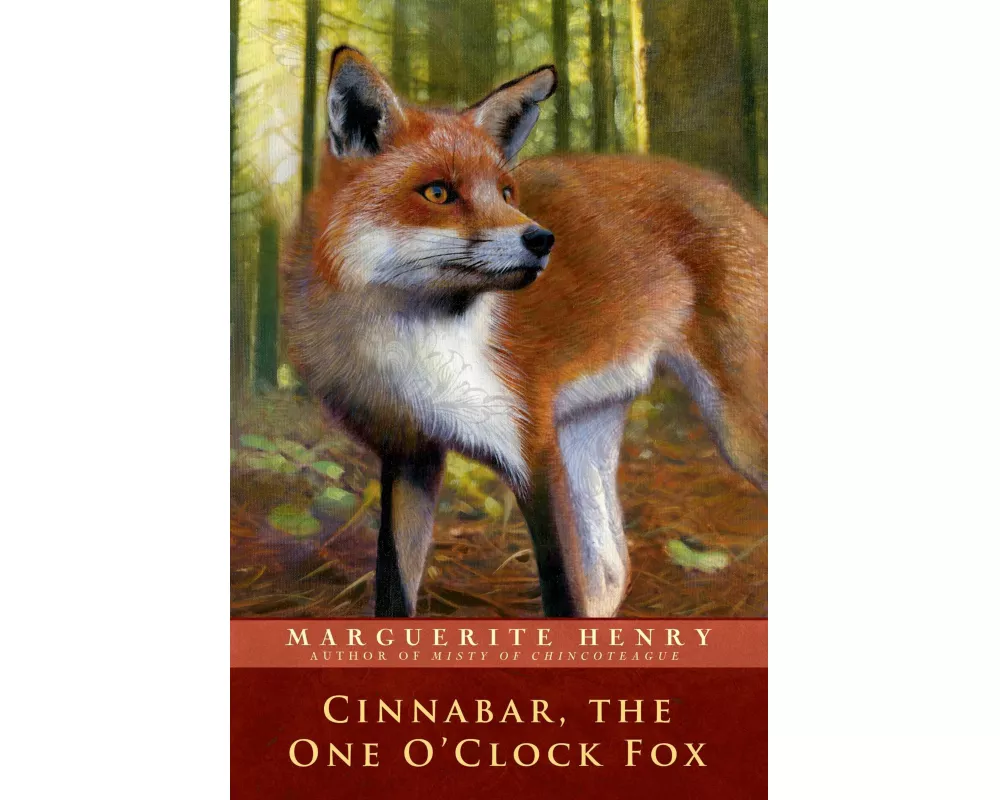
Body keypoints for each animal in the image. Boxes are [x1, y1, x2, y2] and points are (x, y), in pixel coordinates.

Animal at [283, 46, 767, 619]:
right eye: (438, 192)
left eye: (506, 192)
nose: (542, 240)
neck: (407, 347)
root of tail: (732, 192)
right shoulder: (408, 455)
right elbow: (393, 592)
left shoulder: (531, 447)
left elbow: (561, 595)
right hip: (587, 432)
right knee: (613, 570)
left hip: (739, 434)